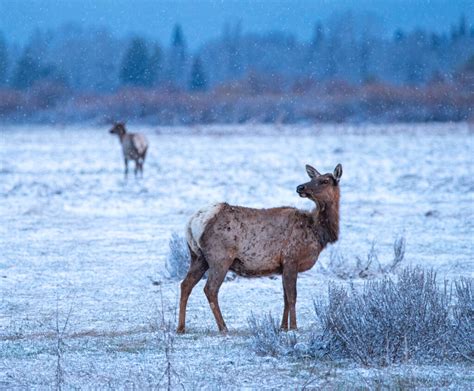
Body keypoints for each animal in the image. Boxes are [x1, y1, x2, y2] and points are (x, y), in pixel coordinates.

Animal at [176, 162, 342, 334]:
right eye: (313, 178)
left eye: (324, 181)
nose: (300, 187)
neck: (317, 232)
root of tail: (193, 222)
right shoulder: (291, 258)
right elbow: (292, 297)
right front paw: (294, 327)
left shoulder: (283, 266)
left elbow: (285, 298)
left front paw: (283, 327)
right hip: (220, 258)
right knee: (210, 289)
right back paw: (223, 327)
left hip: (198, 257)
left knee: (185, 284)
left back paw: (181, 327)